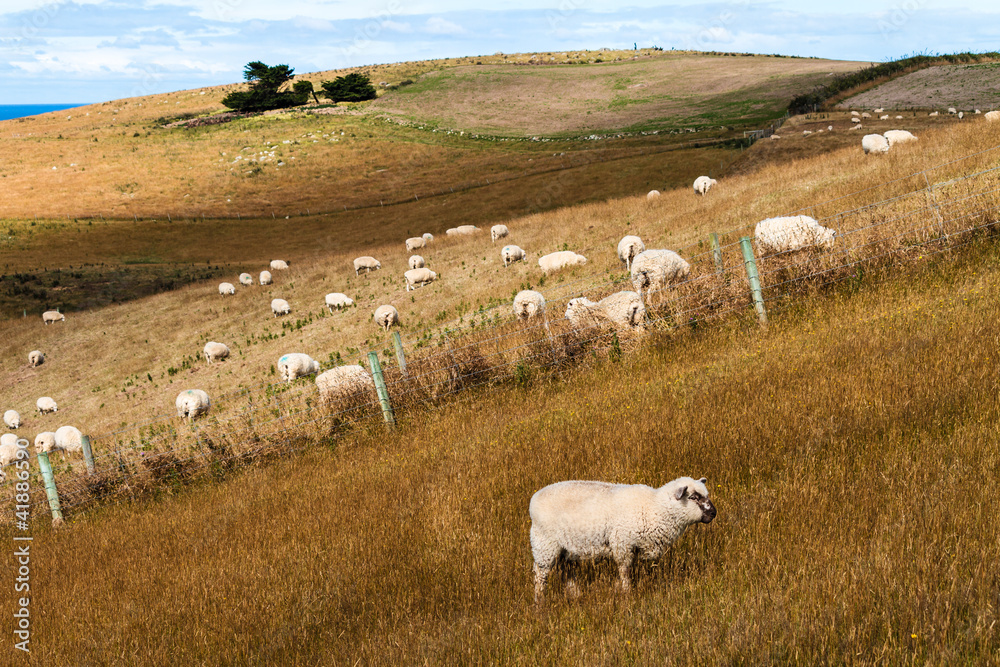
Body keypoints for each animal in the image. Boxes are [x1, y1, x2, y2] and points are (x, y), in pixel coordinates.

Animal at [529, 476, 716, 604]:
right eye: (693, 497)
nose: (714, 513)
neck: (655, 508)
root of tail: (534, 499)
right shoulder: (623, 544)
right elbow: (625, 571)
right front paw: (627, 592)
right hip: (544, 545)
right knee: (540, 575)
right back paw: (540, 601)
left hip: (566, 550)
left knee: (567, 573)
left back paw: (575, 595)